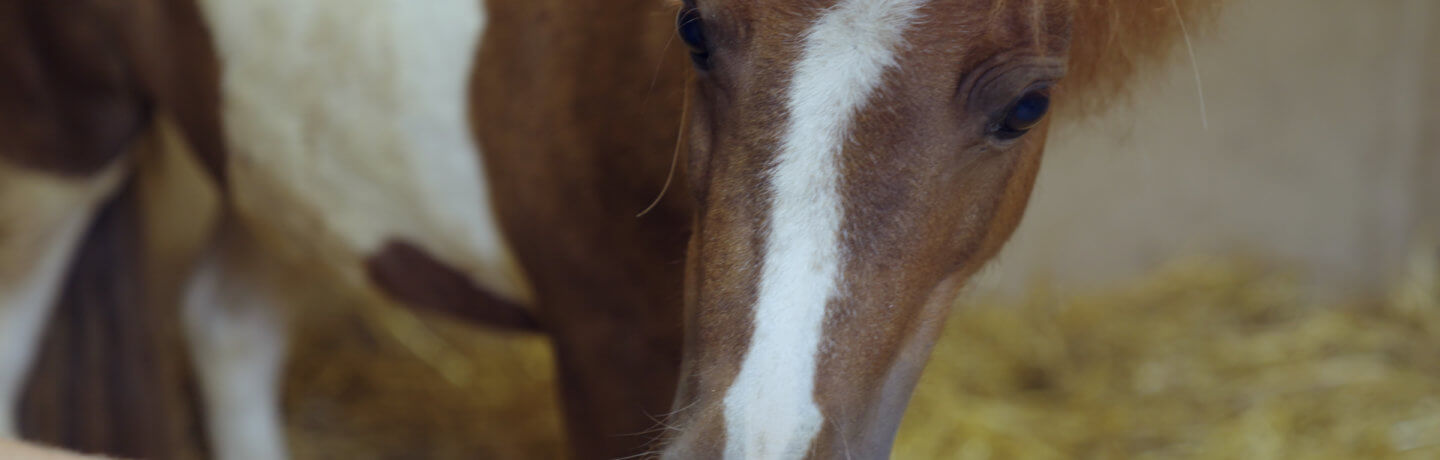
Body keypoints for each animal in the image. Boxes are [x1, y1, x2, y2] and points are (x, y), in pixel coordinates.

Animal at [0, 0, 1215, 458]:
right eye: (694, 27)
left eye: (1029, 105)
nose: (753, 445)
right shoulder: (608, 354)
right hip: (61, 137)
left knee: (229, 325)